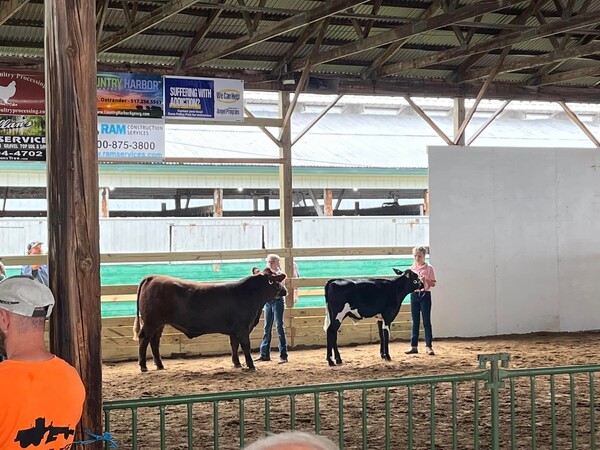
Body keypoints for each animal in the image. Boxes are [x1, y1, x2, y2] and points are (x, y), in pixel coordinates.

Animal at [132, 270, 288, 372]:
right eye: (274, 281)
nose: (285, 291)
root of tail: (152, 277)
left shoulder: (234, 330)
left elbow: (234, 345)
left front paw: (237, 363)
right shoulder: (243, 327)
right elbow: (245, 345)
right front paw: (250, 365)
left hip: (159, 324)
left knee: (154, 341)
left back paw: (160, 365)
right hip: (151, 322)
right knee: (144, 339)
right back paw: (143, 366)